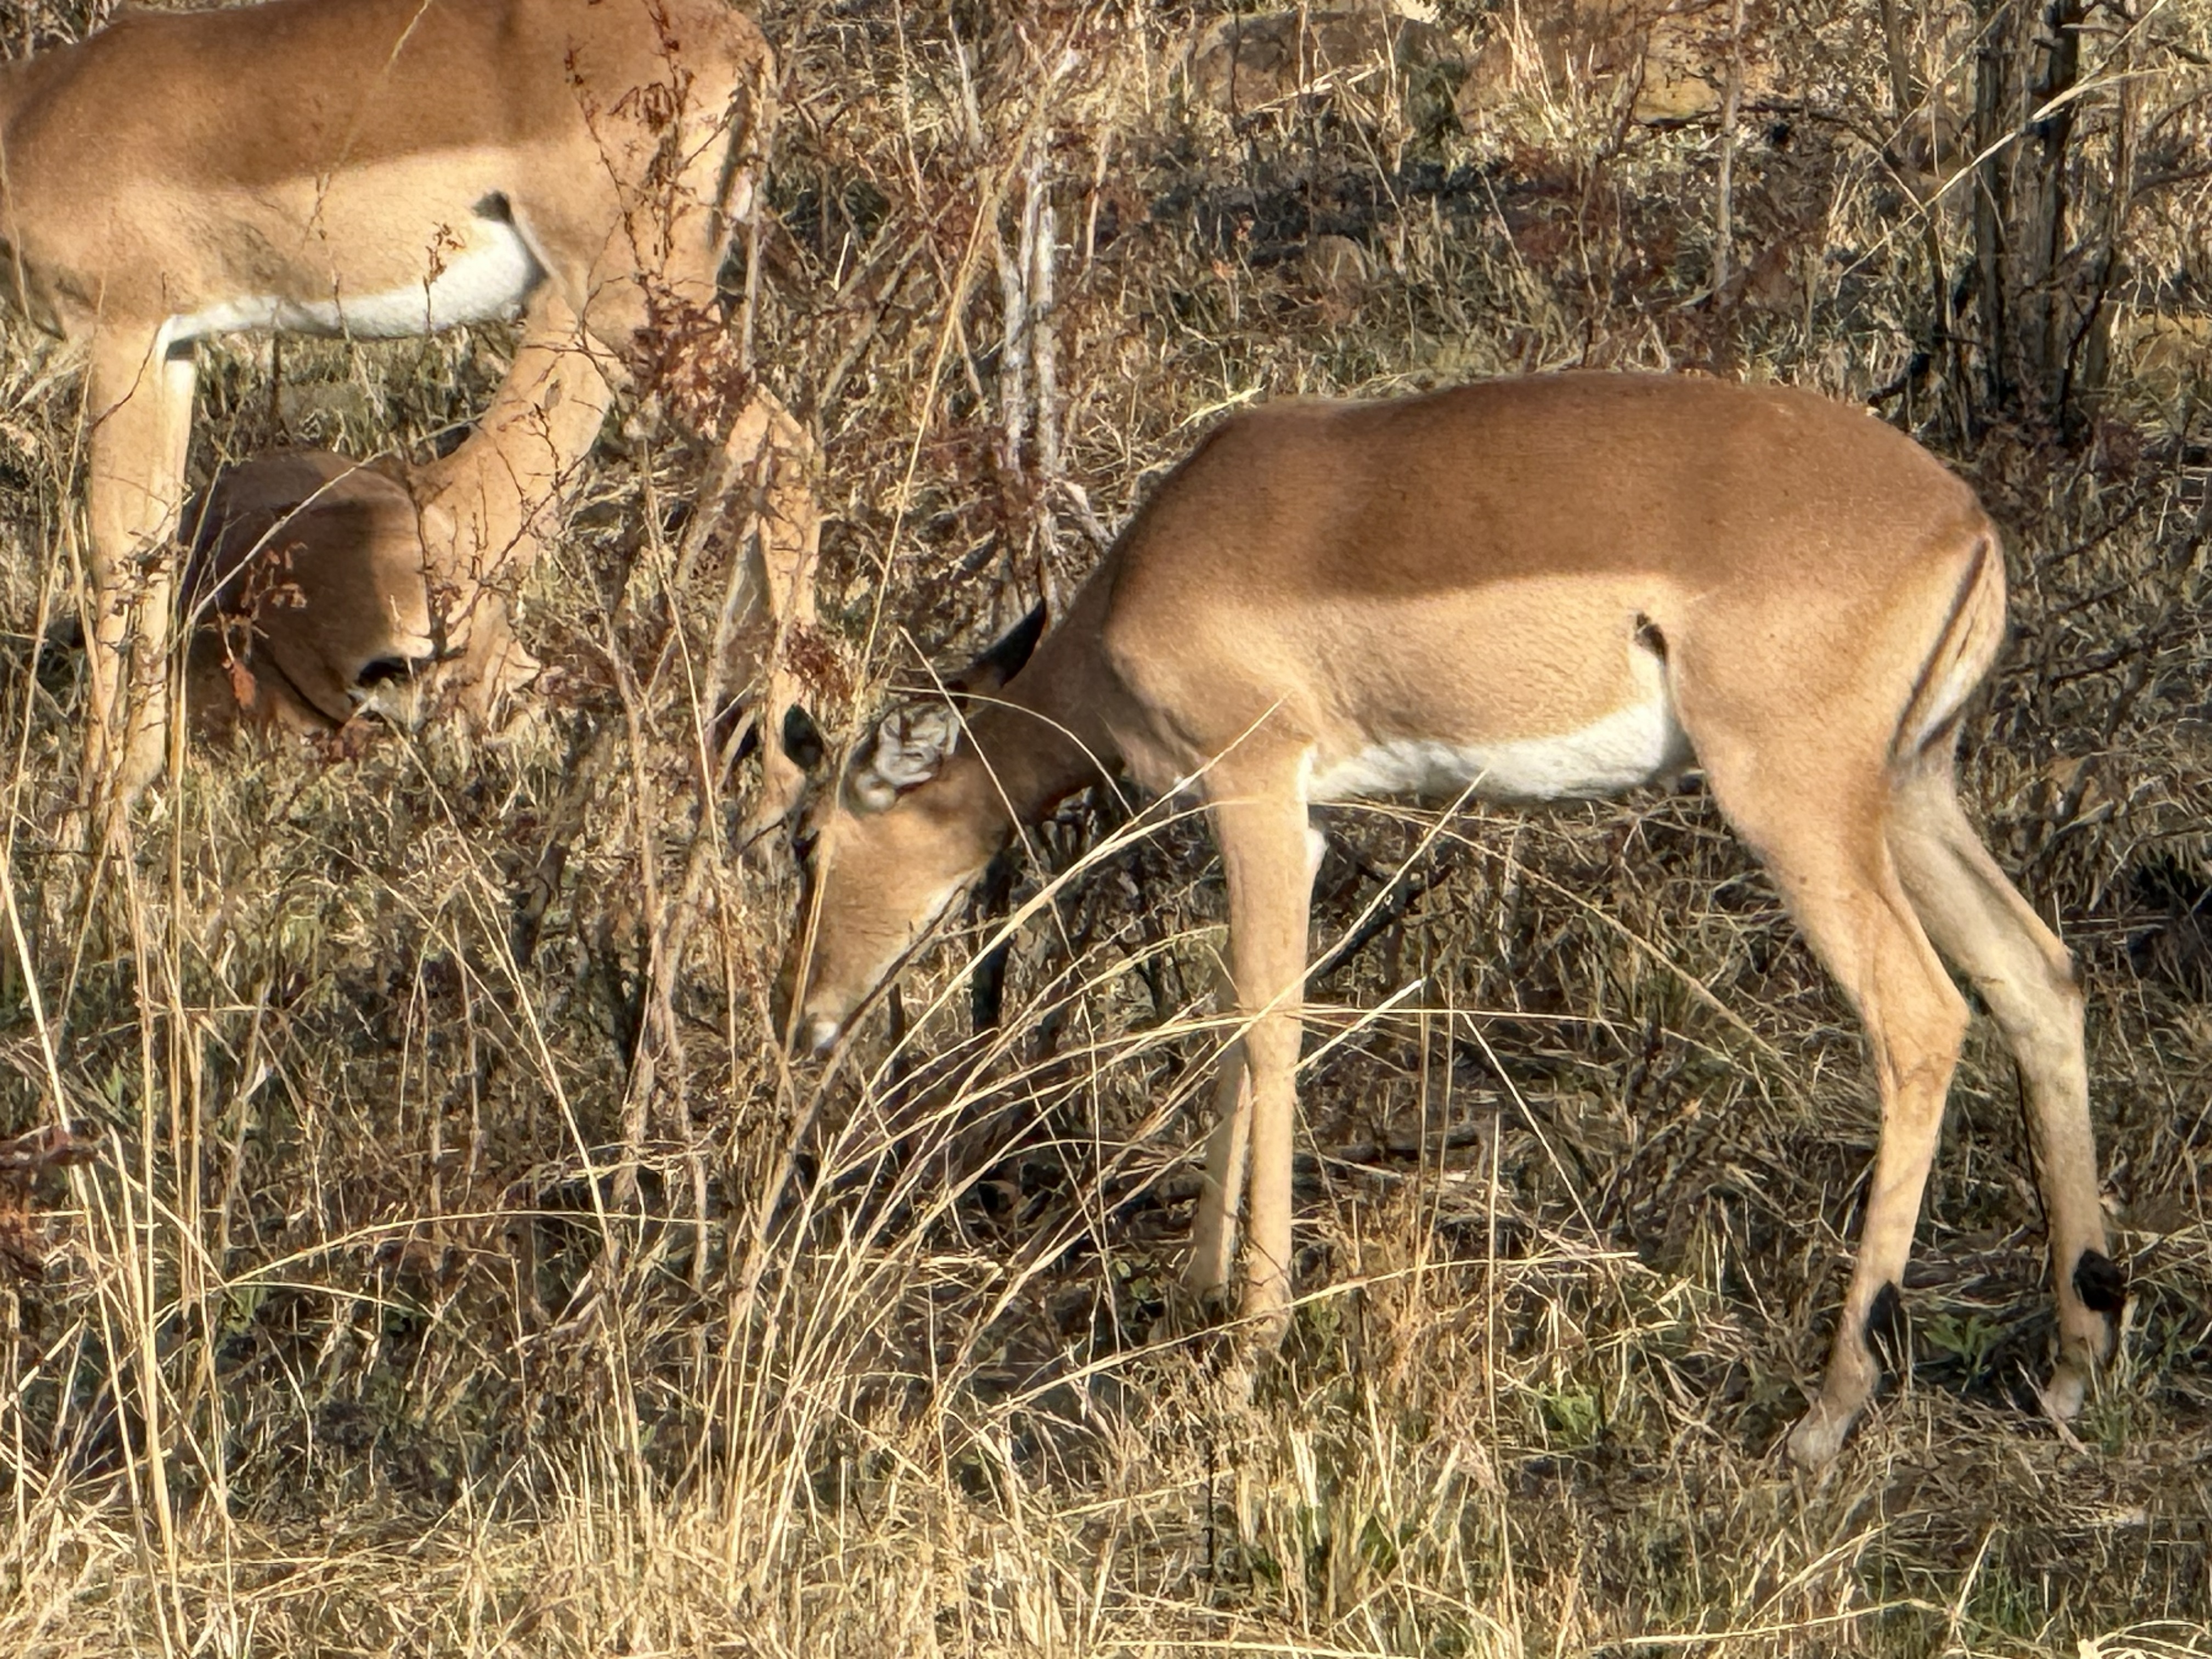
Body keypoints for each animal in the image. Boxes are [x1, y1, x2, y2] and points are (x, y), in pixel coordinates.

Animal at [0, 0, 775, 820]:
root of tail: (739, 40)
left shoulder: (123, 338)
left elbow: (113, 554)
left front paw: (93, 809)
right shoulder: (174, 347)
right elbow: (150, 551)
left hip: (636, 299)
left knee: (780, 449)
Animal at [774, 372, 2123, 1468]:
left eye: (805, 841)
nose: (805, 1019)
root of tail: (1963, 521)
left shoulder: (1259, 796)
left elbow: (1267, 1027)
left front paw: (1247, 1349)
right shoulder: (1293, 818)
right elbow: (1230, 1032)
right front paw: (1189, 1302)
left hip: (1797, 802)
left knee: (1922, 1015)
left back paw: (1829, 1407)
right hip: (1912, 790)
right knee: (2038, 975)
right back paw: (2068, 1364)